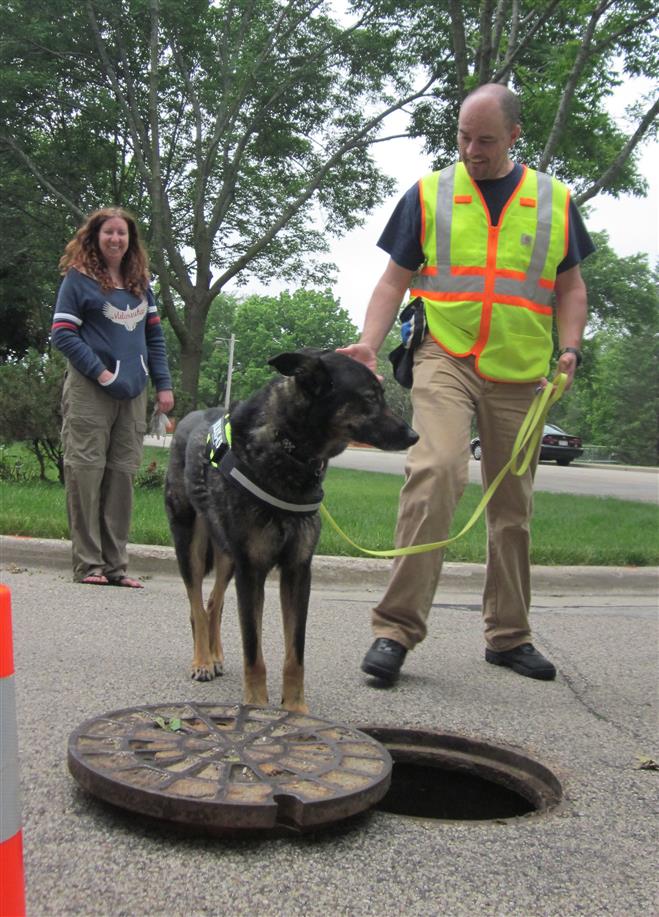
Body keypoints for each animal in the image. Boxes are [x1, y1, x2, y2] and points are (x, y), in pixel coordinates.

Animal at [164, 348, 418, 712]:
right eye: (370, 397)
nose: (414, 436)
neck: (288, 447)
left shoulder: (297, 570)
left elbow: (295, 655)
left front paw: (296, 709)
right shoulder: (251, 571)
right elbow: (253, 651)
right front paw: (256, 705)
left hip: (227, 557)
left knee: (213, 604)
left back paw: (215, 656)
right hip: (191, 547)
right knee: (196, 605)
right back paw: (201, 661)